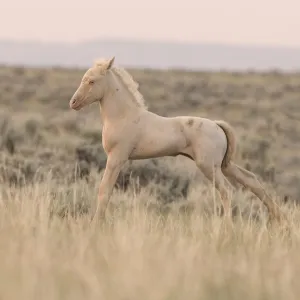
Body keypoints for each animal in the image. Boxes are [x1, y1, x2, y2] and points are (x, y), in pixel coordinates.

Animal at [69, 56, 282, 223]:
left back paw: (229, 226)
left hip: (209, 166)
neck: (123, 116)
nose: (73, 102)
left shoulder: (116, 158)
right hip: (223, 165)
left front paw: (96, 224)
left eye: (92, 81)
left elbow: (104, 191)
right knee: (251, 179)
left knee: (227, 190)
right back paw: (277, 219)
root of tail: (217, 125)